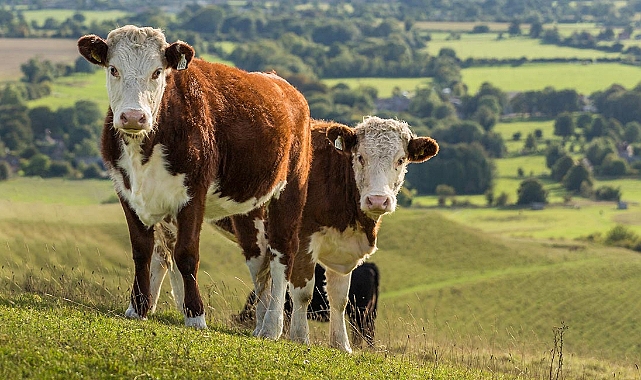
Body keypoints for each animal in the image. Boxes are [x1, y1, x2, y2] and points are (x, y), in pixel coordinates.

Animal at [76, 25, 312, 338]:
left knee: (282, 254)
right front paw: (138, 308)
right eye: (113, 69)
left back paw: (272, 328)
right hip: (249, 208)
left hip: (290, 190)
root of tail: (282, 84)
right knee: (259, 257)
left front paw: (196, 315)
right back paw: (260, 324)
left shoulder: (193, 194)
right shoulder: (127, 192)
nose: (134, 117)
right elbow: (142, 251)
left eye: (157, 72)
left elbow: (186, 254)